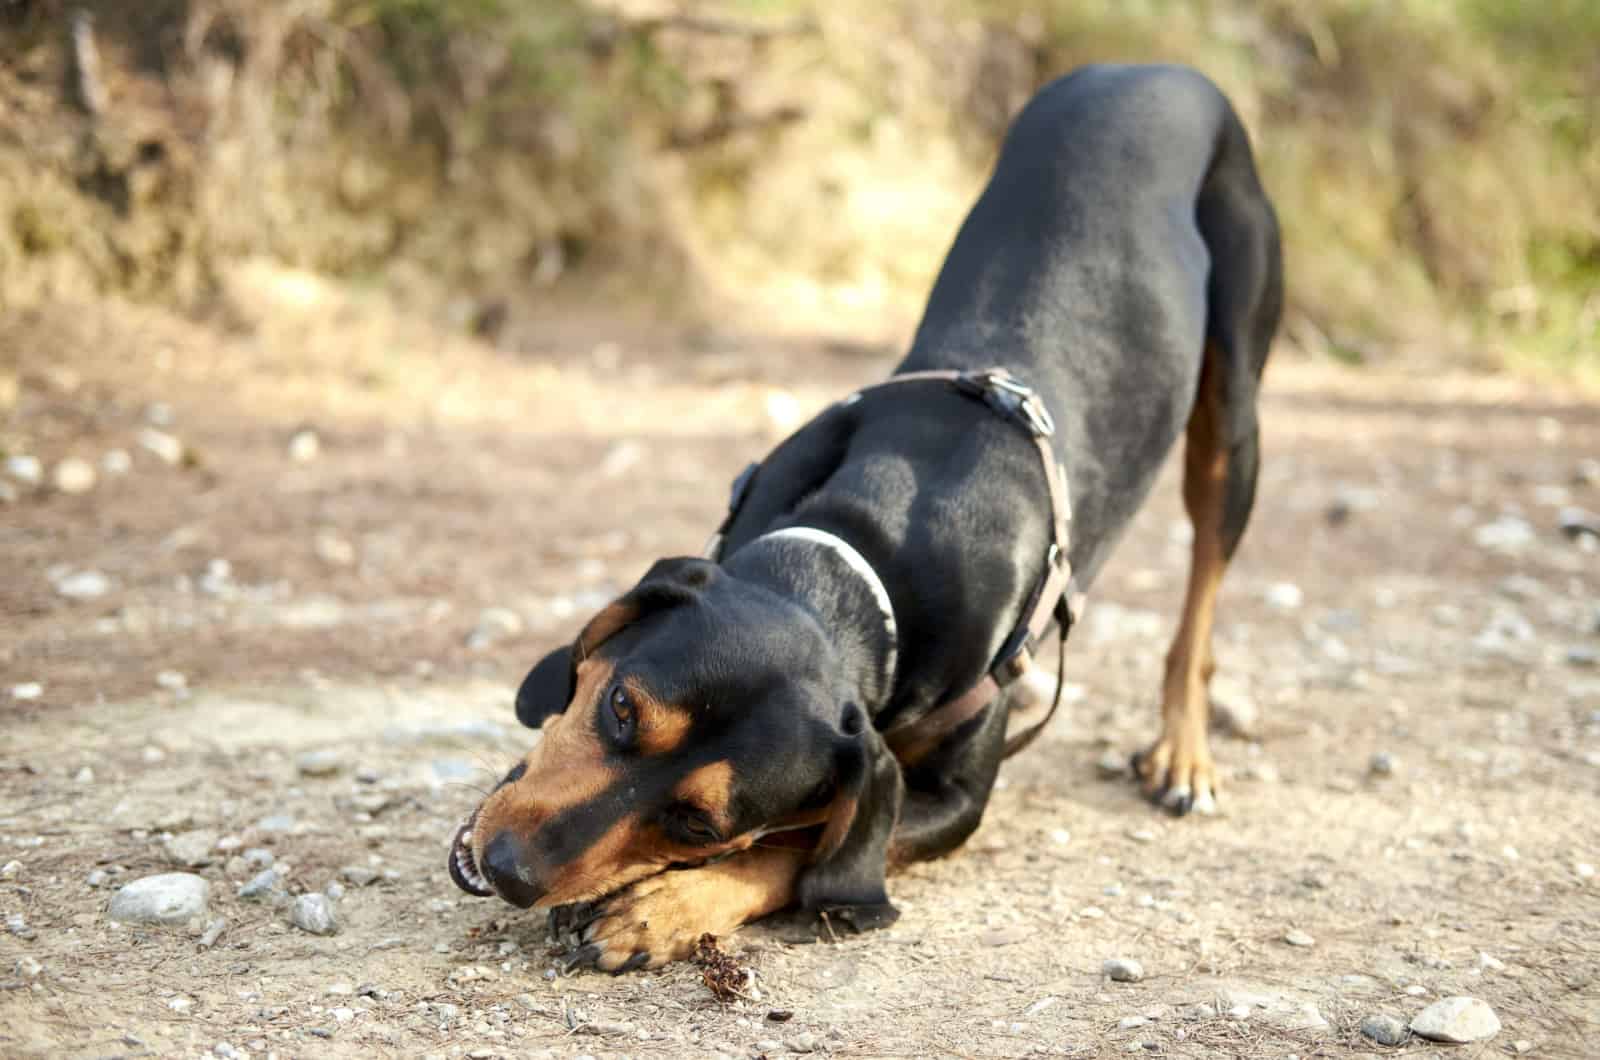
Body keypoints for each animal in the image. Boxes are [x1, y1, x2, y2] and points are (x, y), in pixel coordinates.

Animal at [448, 64, 1273, 973]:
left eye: (698, 824)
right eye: (622, 707)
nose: (509, 868)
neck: (866, 565)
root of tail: (1155, 69)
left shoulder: (952, 801)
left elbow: (806, 850)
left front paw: (659, 906)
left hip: (1233, 418)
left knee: (1200, 597)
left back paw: (1184, 752)